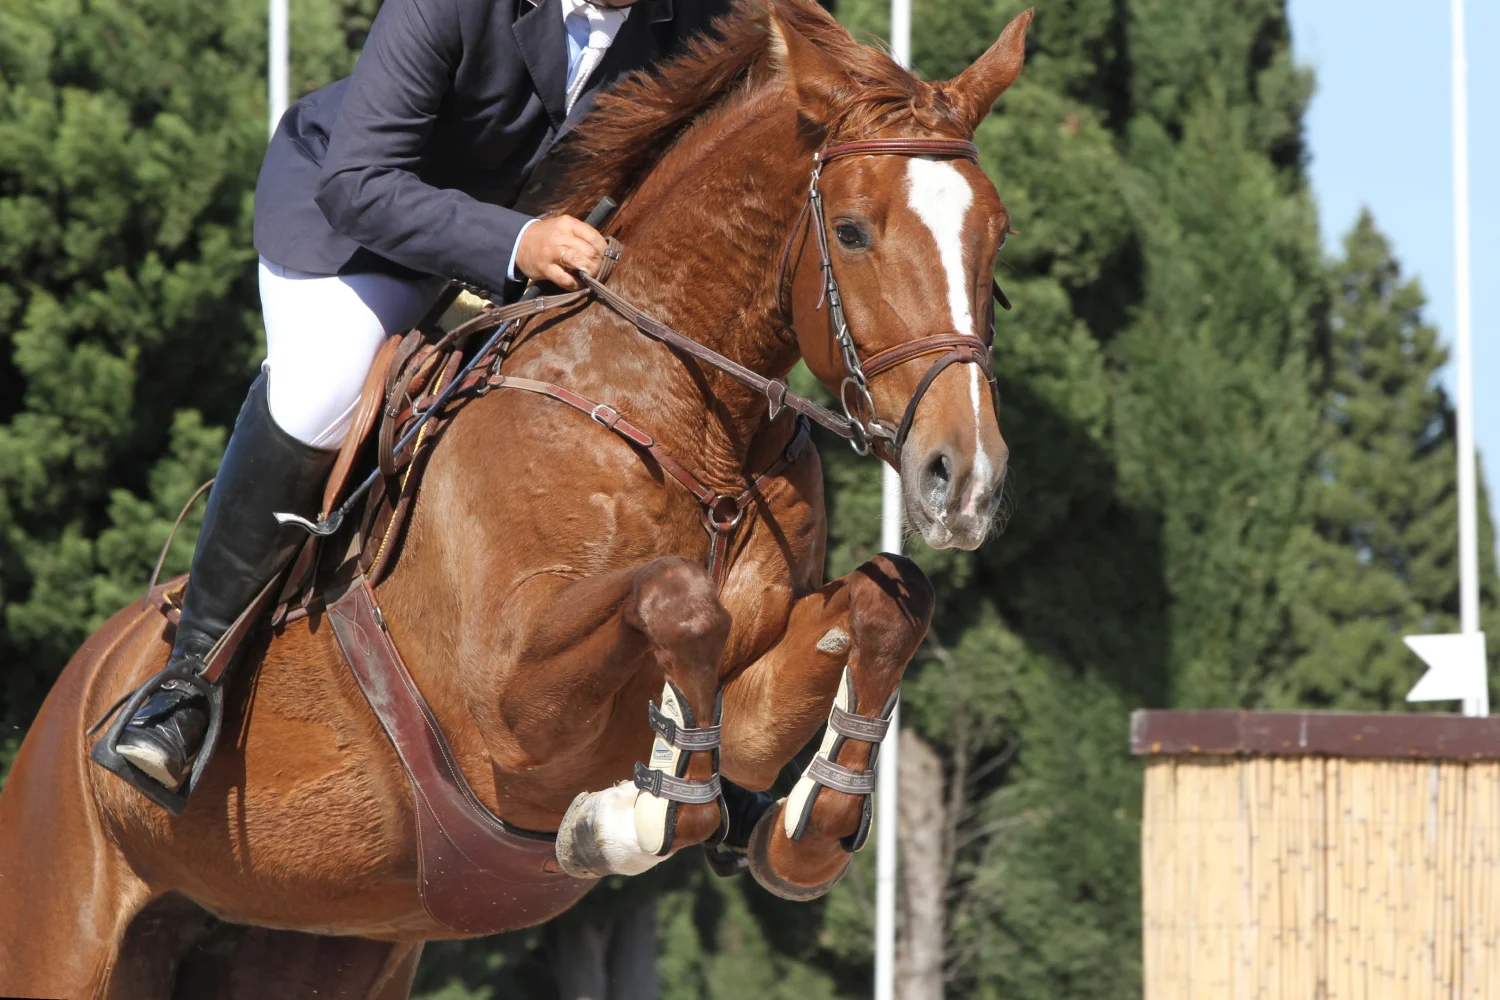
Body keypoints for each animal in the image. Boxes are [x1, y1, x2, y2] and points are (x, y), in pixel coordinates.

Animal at [0, 3, 1032, 995]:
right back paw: (160, 726)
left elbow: (886, 602)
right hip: (67, 930)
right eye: (852, 231)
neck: (688, 415)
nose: (966, 479)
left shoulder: (752, 683)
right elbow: (677, 600)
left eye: (998, 234)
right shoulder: (502, 702)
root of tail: (69, 697)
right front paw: (629, 818)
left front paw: (804, 827)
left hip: (308, 947)